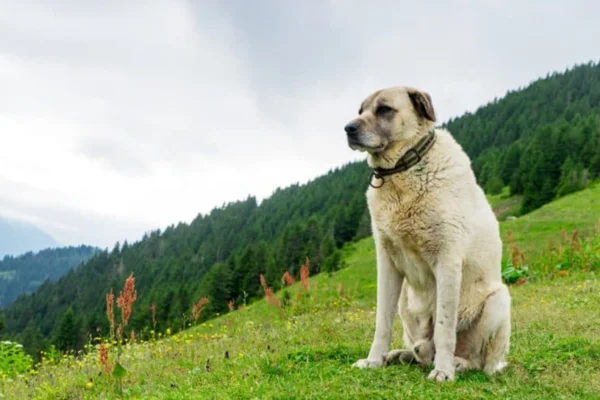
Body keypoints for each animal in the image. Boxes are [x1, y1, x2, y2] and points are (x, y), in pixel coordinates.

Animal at [346, 86, 510, 382]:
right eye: (361, 110)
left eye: (384, 109)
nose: (348, 128)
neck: (403, 170)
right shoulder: (387, 263)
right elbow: (382, 321)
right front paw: (374, 360)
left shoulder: (447, 260)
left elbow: (444, 327)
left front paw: (443, 371)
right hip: (405, 302)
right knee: (421, 351)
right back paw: (401, 355)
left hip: (499, 301)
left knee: (481, 362)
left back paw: (458, 364)